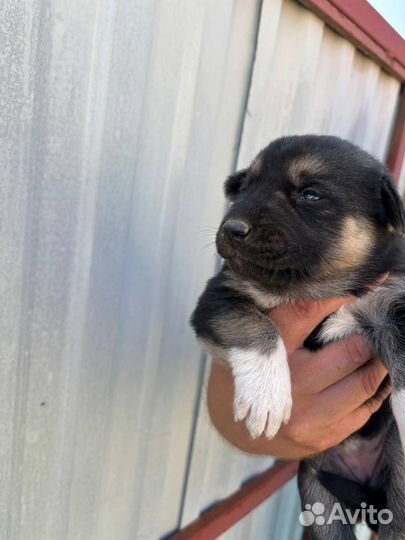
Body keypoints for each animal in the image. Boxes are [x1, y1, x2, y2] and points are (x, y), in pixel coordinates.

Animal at [191, 133, 404, 536]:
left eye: (311, 195)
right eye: (245, 186)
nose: (231, 229)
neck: (314, 287)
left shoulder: (391, 301)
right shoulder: (218, 297)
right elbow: (256, 326)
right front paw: (267, 396)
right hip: (319, 498)